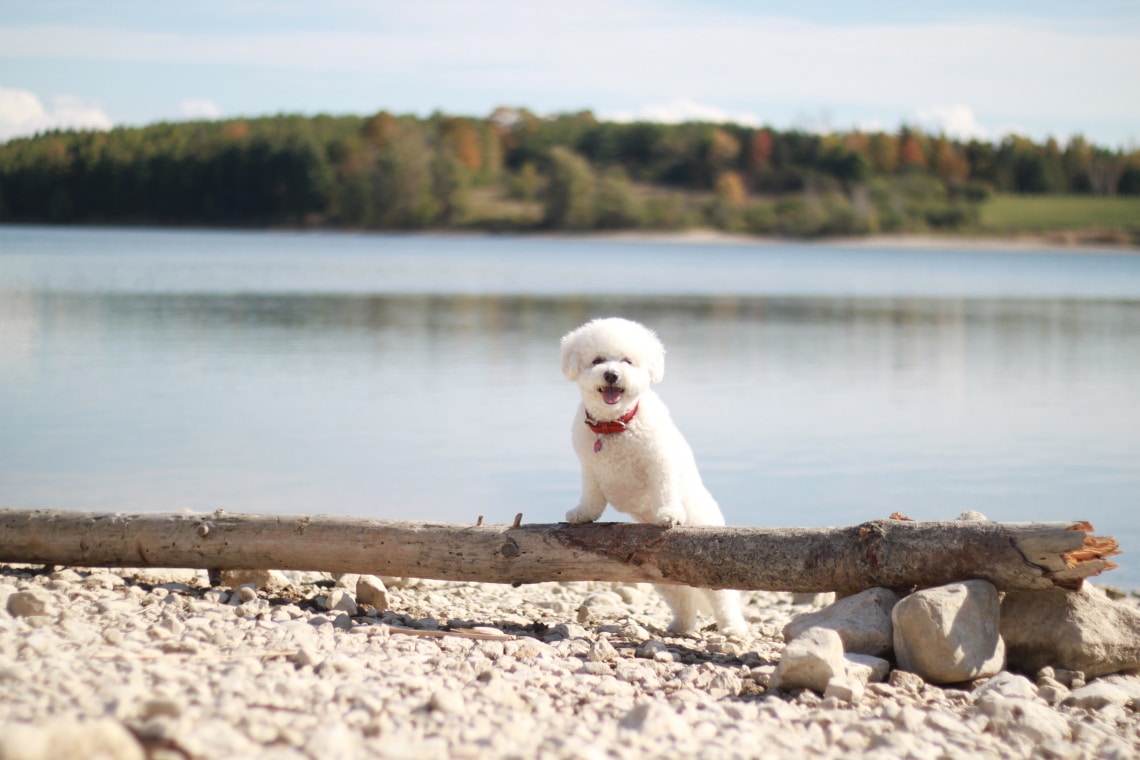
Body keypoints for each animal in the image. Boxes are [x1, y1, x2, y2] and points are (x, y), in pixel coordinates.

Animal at [560, 319, 747, 638]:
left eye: (627, 361)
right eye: (597, 361)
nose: (611, 374)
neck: (616, 424)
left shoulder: (660, 462)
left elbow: (665, 490)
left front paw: (668, 515)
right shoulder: (589, 467)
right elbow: (591, 494)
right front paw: (583, 513)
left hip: (710, 565)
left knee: (722, 598)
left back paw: (732, 628)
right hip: (660, 571)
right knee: (682, 597)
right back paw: (681, 627)